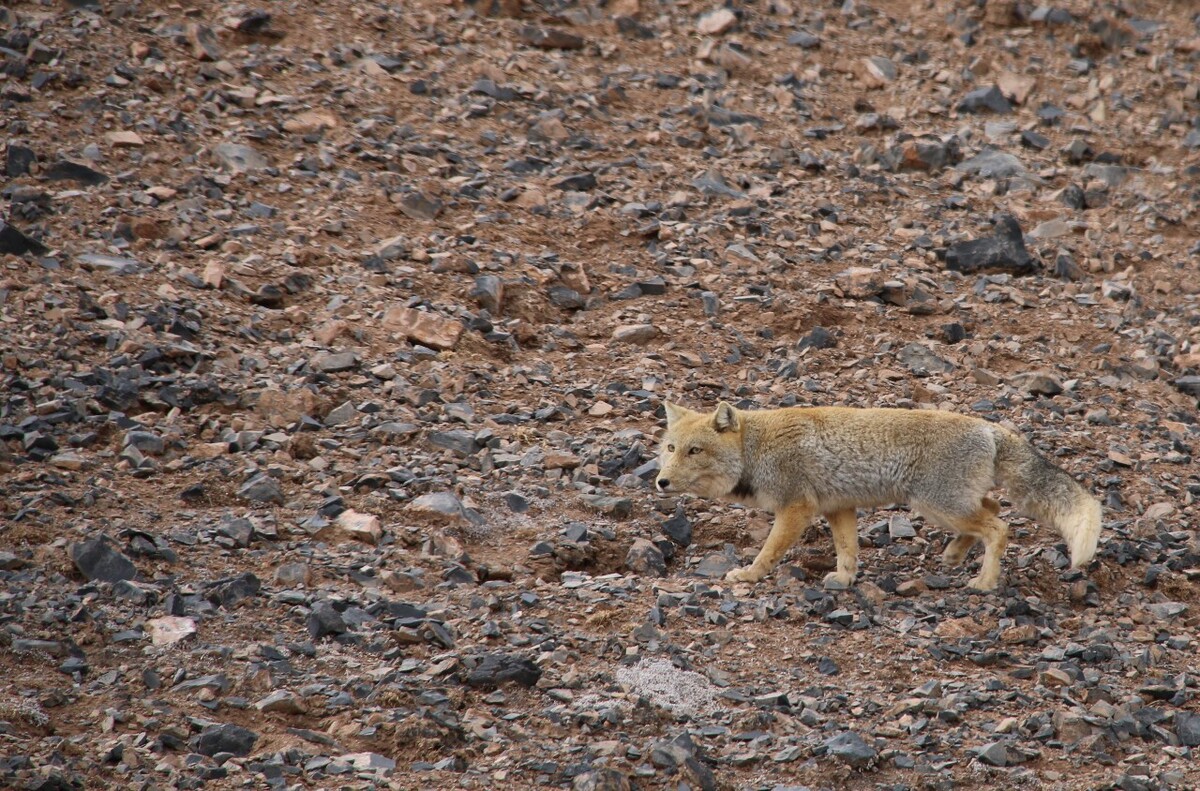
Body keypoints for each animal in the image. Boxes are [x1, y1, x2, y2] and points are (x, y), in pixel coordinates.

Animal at [657, 403, 1104, 595]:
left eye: (694, 451)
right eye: (670, 448)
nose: (660, 482)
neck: (755, 446)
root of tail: (989, 426)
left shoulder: (796, 509)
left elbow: (769, 550)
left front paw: (748, 575)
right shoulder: (838, 508)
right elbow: (847, 549)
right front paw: (845, 579)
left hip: (936, 505)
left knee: (999, 525)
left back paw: (985, 581)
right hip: (949, 506)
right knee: (992, 510)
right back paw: (955, 554)